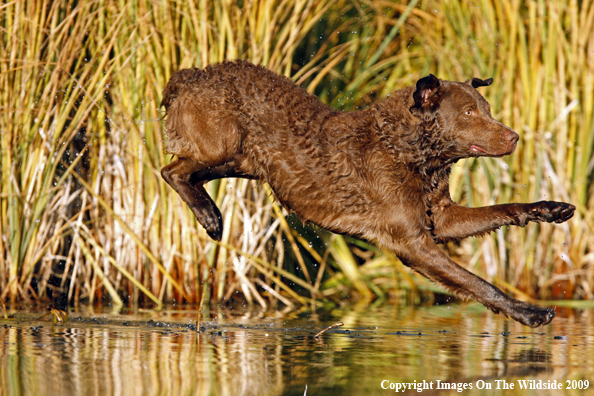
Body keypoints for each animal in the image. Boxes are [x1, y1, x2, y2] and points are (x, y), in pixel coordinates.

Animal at [160, 60, 572, 326]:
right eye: (469, 113)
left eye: (486, 109)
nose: (514, 136)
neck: (410, 151)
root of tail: (189, 74)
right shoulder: (411, 242)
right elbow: (477, 283)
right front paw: (531, 312)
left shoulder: (440, 218)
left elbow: (504, 208)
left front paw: (550, 208)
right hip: (222, 143)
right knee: (171, 170)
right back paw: (210, 218)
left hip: (243, 161)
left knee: (187, 173)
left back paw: (209, 212)